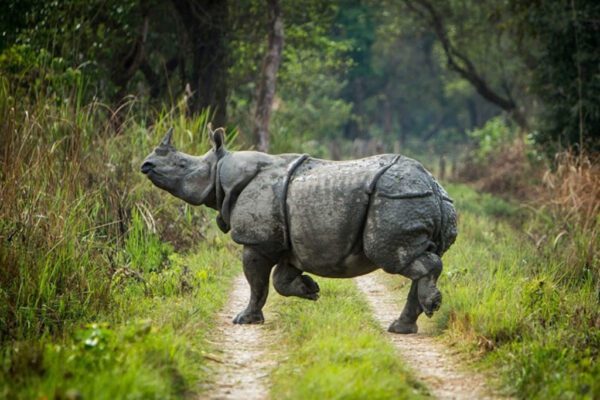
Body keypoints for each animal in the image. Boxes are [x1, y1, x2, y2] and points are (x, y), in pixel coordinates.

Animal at [141, 128, 458, 334]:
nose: (146, 165)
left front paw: (245, 320)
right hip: (416, 199)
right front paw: (310, 289)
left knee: (395, 256)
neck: (222, 172)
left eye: (183, 164)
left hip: (398, 199)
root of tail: (432, 185)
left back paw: (429, 306)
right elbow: (280, 280)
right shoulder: (289, 243)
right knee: (416, 257)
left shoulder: (256, 241)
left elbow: (257, 283)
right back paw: (402, 327)